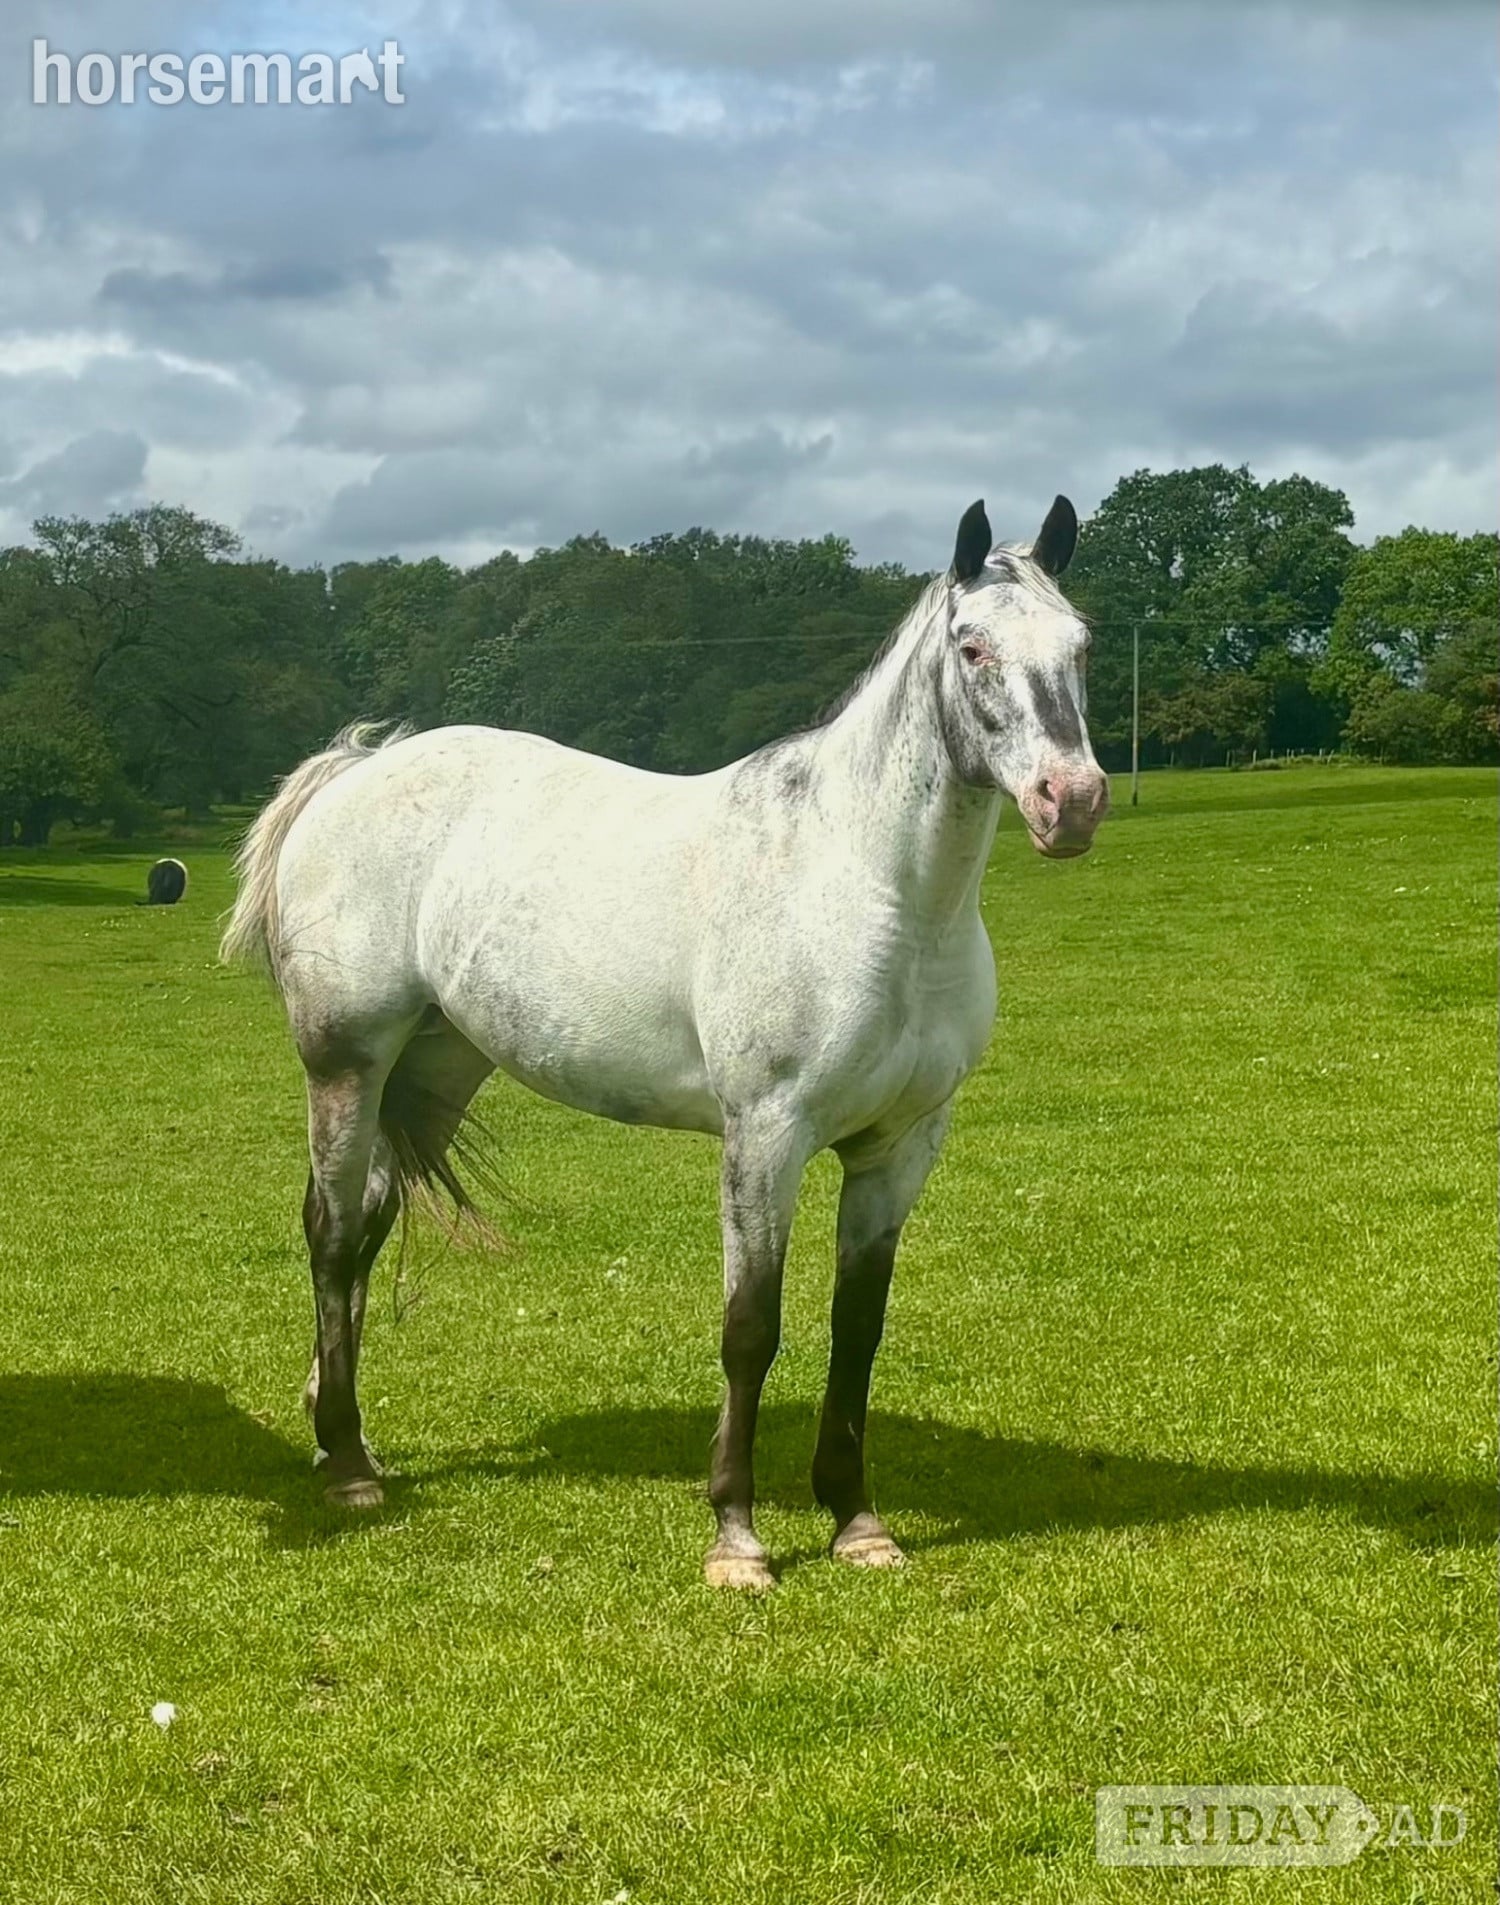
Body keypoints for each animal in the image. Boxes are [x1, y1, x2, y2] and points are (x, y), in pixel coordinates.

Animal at [221, 495, 1108, 1589]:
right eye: (974, 645)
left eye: (1081, 644)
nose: (1073, 801)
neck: (868, 888)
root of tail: (360, 768)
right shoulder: (766, 1137)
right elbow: (750, 1329)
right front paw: (737, 1539)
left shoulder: (899, 1148)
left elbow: (856, 1330)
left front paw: (857, 1522)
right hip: (346, 1064)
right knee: (334, 1235)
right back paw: (347, 1467)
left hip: (432, 1066)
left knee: (368, 1229)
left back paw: (337, 1434)